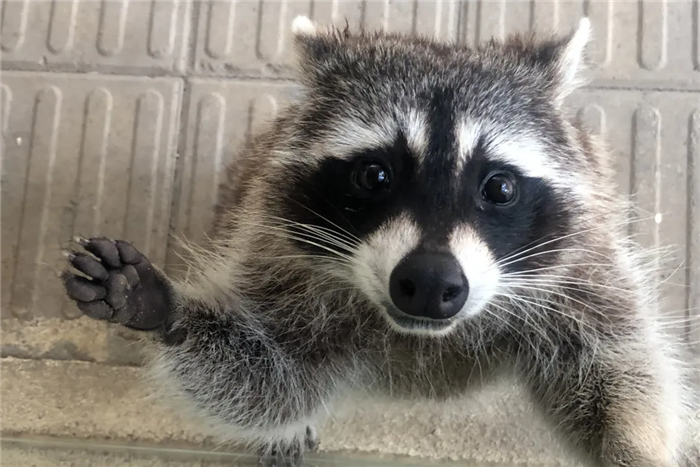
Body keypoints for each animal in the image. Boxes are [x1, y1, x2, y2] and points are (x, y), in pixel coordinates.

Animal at [63, 15, 696, 467]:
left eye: (499, 186)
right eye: (374, 176)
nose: (431, 283)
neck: (424, 338)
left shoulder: (586, 272)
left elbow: (617, 368)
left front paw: (635, 446)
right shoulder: (275, 260)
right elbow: (267, 379)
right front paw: (163, 307)